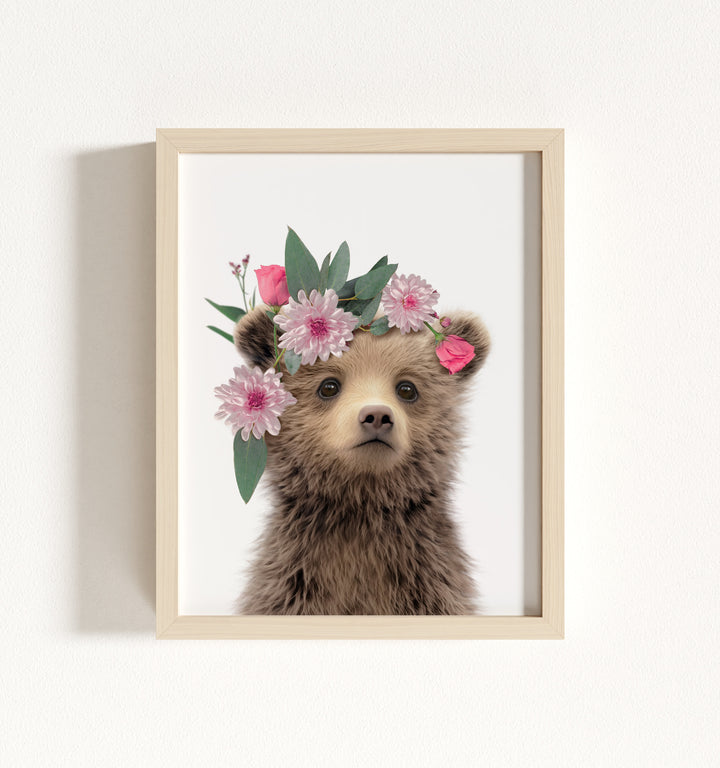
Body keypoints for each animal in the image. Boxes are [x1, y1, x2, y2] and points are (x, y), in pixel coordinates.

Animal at [233, 306, 490, 615]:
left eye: (407, 388)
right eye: (328, 386)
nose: (377, 415)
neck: (360, 509)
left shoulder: (429, 583)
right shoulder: (292, 583)